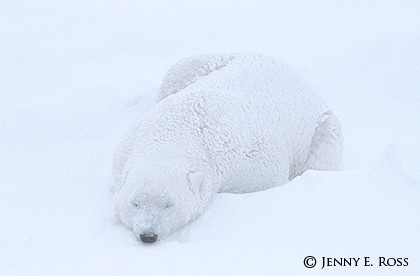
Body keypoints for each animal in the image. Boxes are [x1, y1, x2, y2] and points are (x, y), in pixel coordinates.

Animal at [113, 54, 342, 244]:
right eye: (135, 203)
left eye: (169, 204)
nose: (148, 235)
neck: (176, 131)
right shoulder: (127, 147)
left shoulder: (248, 161)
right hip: (204, 64)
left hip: (321, 130)